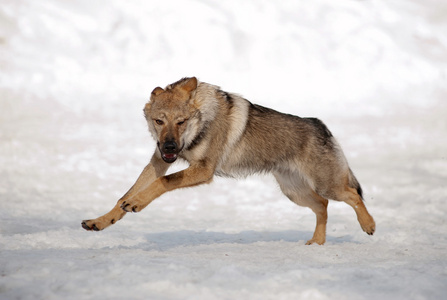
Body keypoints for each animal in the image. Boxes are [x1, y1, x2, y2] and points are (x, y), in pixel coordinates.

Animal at [82, 76, 376, 245]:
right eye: (159, 121)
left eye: (181, 121)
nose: (170, 146)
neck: (202, 119)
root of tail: (321, 126)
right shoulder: (159, 161)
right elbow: (123, 196)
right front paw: (101, 221)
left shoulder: (203, 170)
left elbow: (161, 185)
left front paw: (137, 204)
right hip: (295, 192)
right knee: (323, 206)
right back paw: (316, 244)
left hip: (327, 186)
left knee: (352, 196)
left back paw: (368, 225)